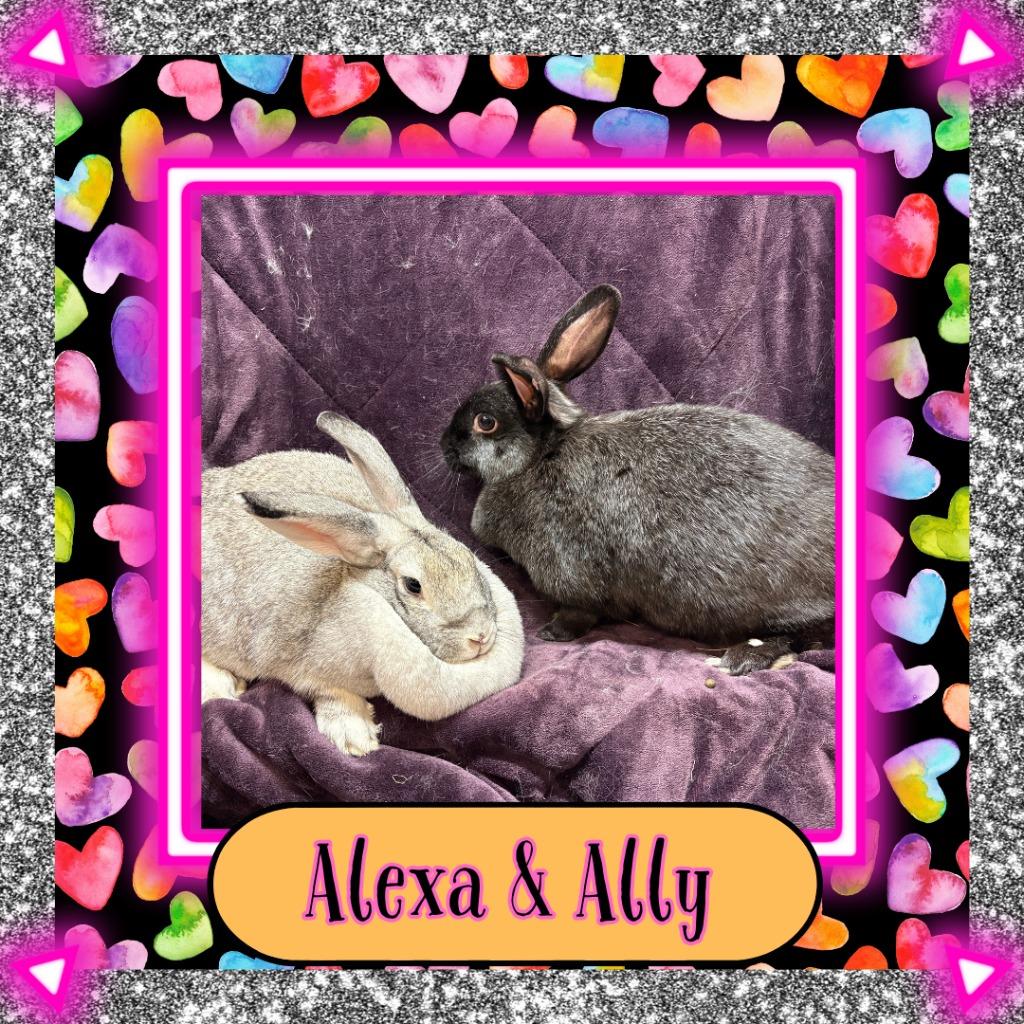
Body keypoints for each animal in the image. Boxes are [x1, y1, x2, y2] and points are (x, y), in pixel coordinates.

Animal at [201, 411, 525, 755]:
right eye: (413, 585)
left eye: (467, 557)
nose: (480, 636)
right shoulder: (308, 668)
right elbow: (333, 693)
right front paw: (356, 740)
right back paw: (221, 687)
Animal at [440, 285, 835, 676]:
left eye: (485, 422)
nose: (444, 446)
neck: (540, 456)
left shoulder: (571, 575)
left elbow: (578, 612)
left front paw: (551, 632)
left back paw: (743, 656)